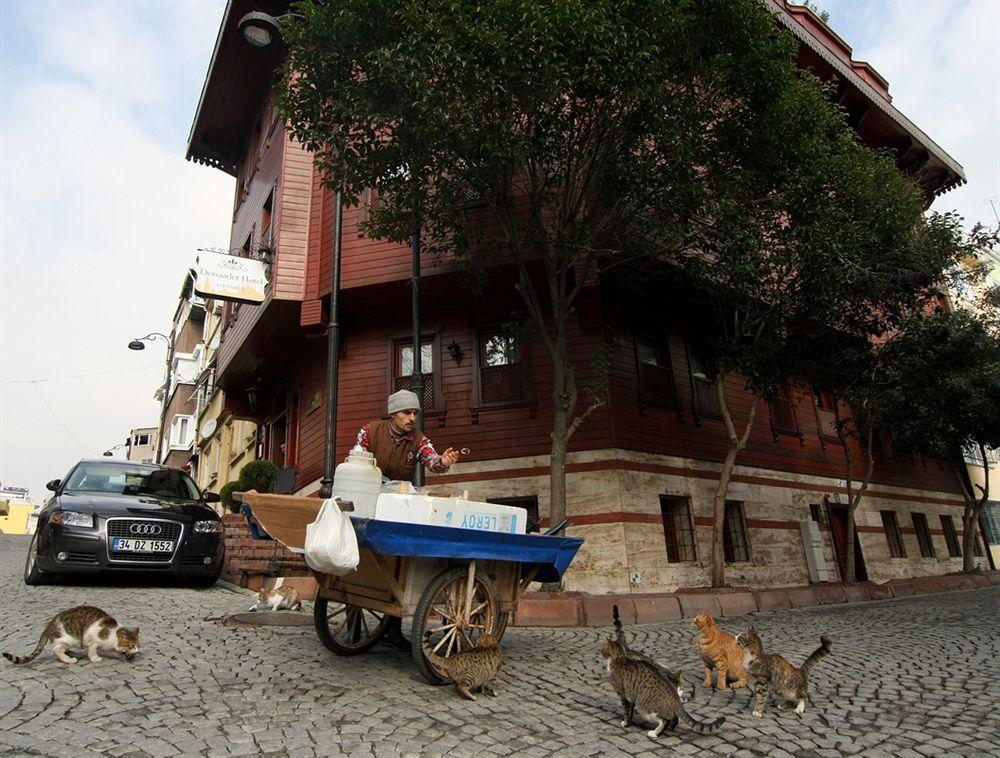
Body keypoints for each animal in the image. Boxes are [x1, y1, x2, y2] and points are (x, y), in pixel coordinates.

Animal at [2, 604, 139, 664]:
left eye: (138, 645)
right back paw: (69, 659)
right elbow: (92, 650)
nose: (137, 651)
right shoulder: (93, 640)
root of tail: (49, 626)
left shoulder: (108, 645)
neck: (112, 634)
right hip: (71, 638)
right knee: (56, 649)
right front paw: (95, 658)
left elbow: (113, 651)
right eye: (131, 645)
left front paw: (119, 655)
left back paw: (72, 653)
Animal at [596, 640, 724, 740]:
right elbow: (630, 711)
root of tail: (675, 699)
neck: (620, 657)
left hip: (645, 707)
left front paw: (626, 723)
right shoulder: (631, 696)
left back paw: (654, 733)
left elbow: (626, 711)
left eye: (603, 648)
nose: (600, 651)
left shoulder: (623, 694)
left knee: (665, 720)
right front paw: (630, 721)